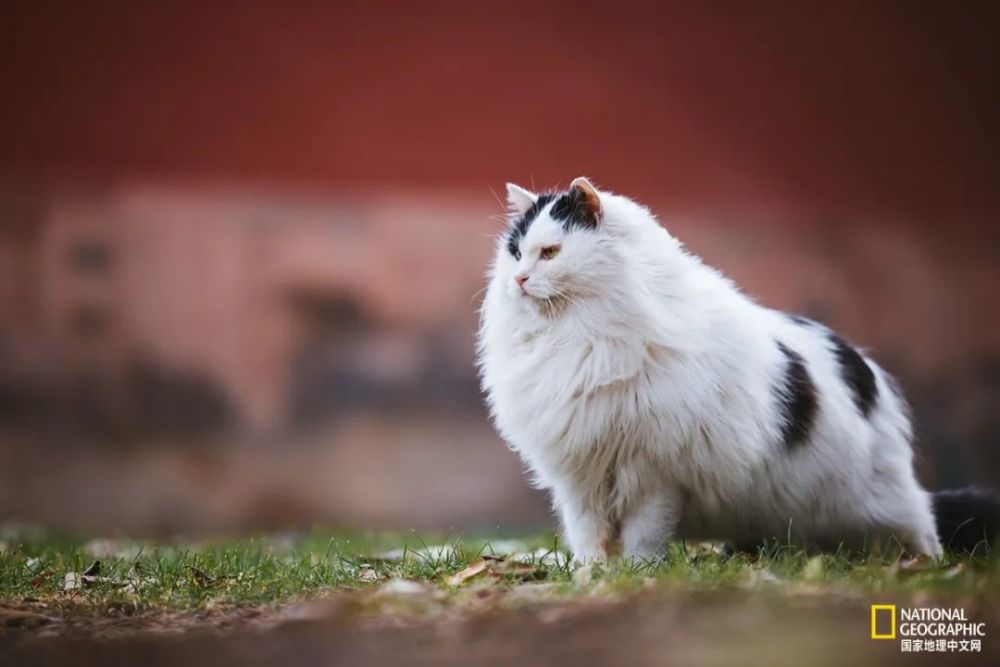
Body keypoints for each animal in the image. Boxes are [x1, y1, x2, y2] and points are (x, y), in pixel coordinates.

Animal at [476, 175, 944, 560]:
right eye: (515, 254)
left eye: (550, 253)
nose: (518, 280)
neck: (577, 337)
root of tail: (863, 363)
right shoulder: (580, 476)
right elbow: (589, 537)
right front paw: (594, 579)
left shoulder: (653, 474)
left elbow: (642, 537)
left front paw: (637, 574)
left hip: (879, 500)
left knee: (924, 526)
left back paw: (923, 564)